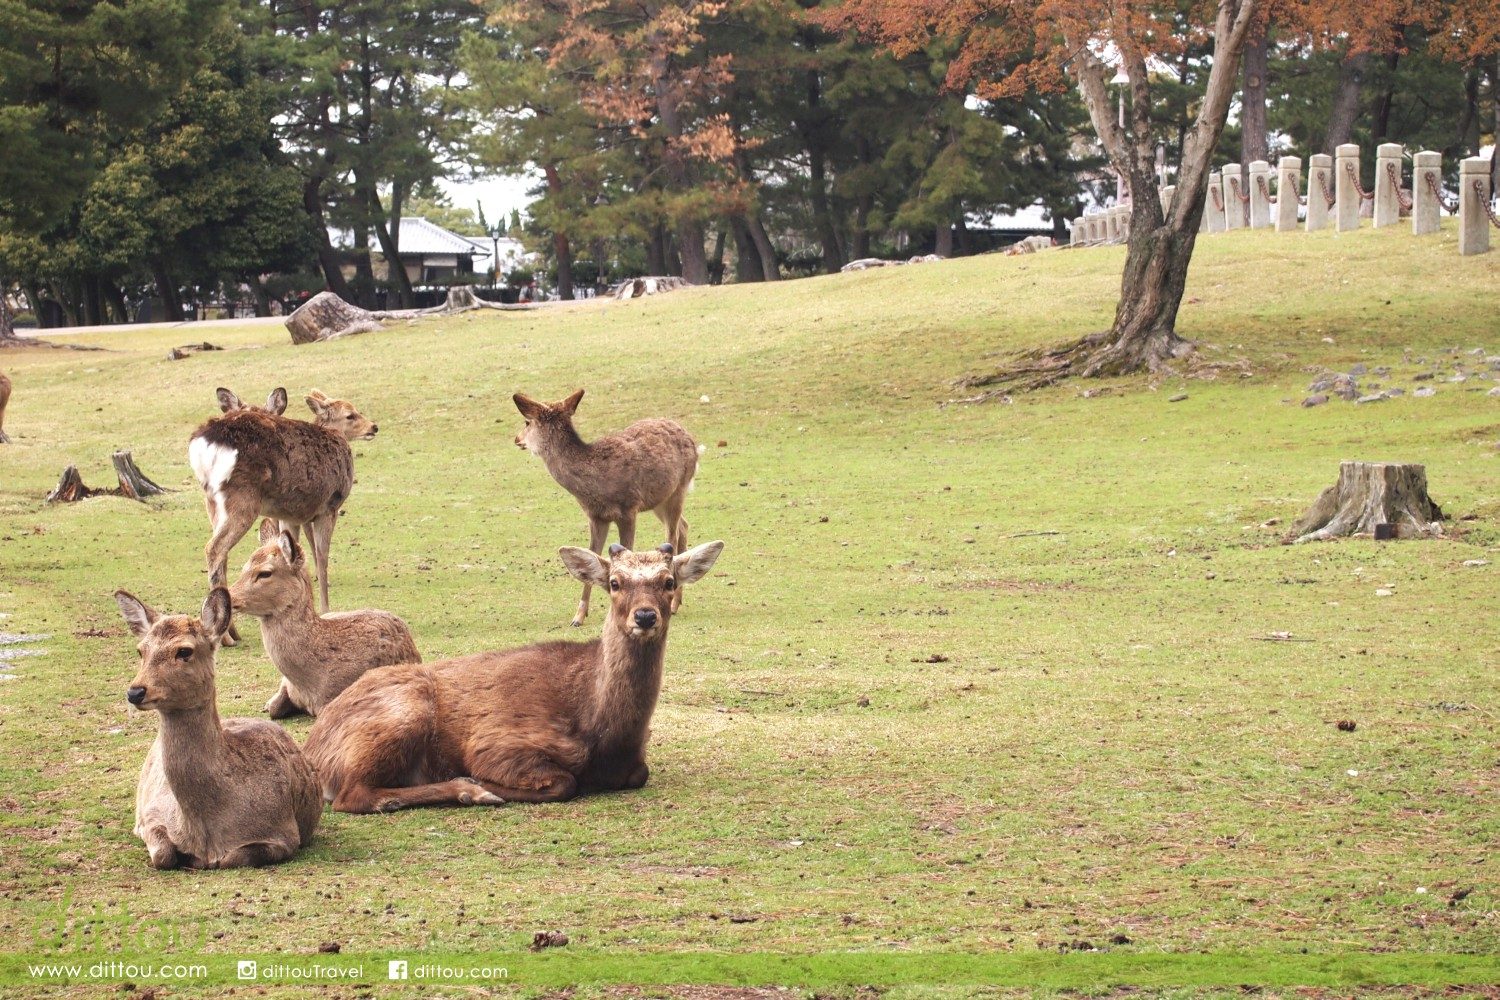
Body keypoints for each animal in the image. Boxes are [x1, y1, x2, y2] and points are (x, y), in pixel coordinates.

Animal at [115, 587, 321, 869]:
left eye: (184, 651)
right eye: (140, 650)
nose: (135, 692)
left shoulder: (284, 833)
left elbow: (230, 858)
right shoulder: (152, 814)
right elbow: (162, 855)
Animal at [189, 389, 375, 617]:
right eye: (351, 415)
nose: (374, 427)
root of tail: (205, 443)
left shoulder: (291, 514)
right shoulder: (329, 506)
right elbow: (322, 559)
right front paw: (325, 609)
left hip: (212, 500)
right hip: (242, 497)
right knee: (215, 548)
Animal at [301, 539, 723, 815]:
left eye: (669, 582)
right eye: (615, 582)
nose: (645, 616)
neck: (602, 729)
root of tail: (315, 752)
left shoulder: (636, 763)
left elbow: (640, 773)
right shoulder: (496, 742)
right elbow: (564, 782)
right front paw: (482, 784)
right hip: (404, 712)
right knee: (353, 795)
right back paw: (469, 791)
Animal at [516, 389, 702, 626]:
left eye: (527, 422)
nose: (517, 439)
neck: (595, 487)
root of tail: (691, 438)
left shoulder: (629, 508)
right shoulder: (596, 517)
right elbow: (591, 556)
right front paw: (578, 616)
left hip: (679, 488)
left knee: (672, 535)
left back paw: (672, 603)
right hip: (660, 500)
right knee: (683, 526)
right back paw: (677, 602)